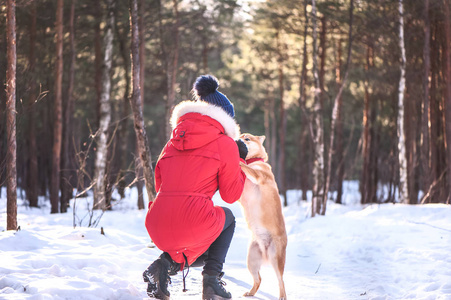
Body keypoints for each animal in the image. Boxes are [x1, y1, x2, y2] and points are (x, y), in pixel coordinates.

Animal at [238, 134, 288, 300]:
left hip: (276, 259)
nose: (238, 139)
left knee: (281, 282)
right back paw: (250, 293)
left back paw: (282, 296)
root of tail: (266, 255)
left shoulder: (258, 176)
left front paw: (239, 161)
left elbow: (246, 167)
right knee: (258, 279)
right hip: (251, 260)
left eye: (247, 138)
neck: (254, 161)